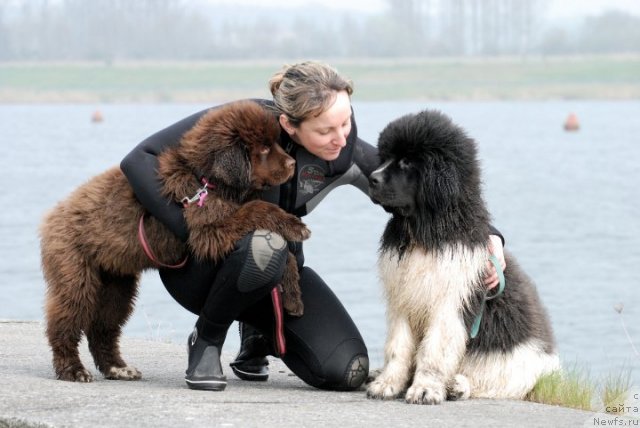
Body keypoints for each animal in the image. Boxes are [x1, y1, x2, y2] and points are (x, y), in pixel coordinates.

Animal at [40, 100, 310, 382]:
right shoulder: (208, 231)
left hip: (117, 285)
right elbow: (256, 209)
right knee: (63, 324)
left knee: (103, 328)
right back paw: (73, 369)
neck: (206, 180)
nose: (293, 163)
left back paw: (117, 368)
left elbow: (286, 253)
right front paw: (294, 225)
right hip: (75, 276)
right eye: (265, 148)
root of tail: (51, 217)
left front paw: (293, 296)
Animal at [364, 109, 560, 404]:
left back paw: (457, 385)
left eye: (407, 161)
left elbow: (434, 351)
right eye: (385, 157)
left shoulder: (449, 302)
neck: (427, 233)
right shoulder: (402, 299)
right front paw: (387, 383)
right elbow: (398, 346)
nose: (372, 178)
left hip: (517, 367)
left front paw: (425, 389)